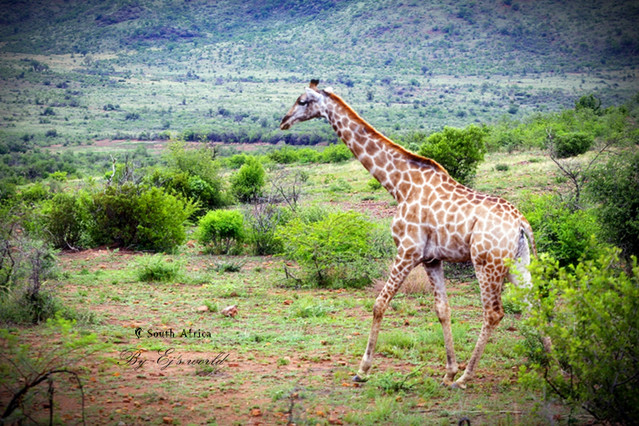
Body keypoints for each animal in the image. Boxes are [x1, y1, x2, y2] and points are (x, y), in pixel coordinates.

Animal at [280, 80, 536, 390]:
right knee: (533, 304)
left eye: (302, 101)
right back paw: (555, 366)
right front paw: (448, 371)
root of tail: (521, 223)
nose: (283, 121)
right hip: (517, 263)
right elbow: (442, 310)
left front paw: (363, 370)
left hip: (487, 263)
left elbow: (379, 304)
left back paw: (466, 378)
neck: (399, 185)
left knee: (494, 312)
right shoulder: (431, 259)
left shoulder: (407, 250)